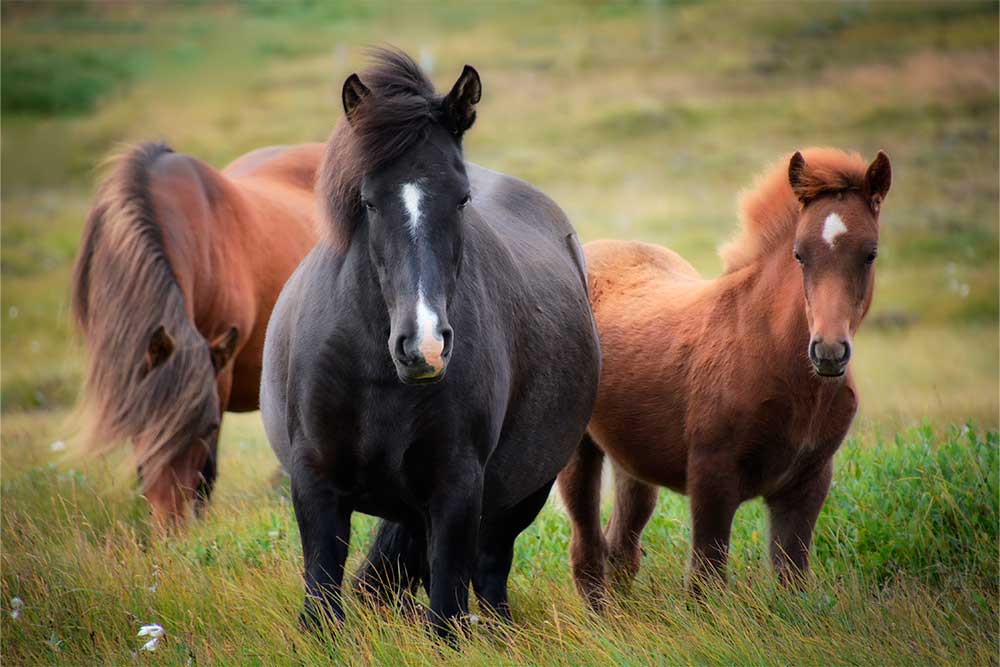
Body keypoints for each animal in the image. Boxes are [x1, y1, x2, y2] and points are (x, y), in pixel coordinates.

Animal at [260, 49, 600, 640]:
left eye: (461, 199)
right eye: (369, 202)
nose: (425, 347)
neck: (375, 372)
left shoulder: (457, 488)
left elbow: (445, 611)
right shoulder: (315, 482)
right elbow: (322, 599)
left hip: (523, 493)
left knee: (490, 571)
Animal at [560, 147, 896, 612]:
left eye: (870, 254)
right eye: (799, 254)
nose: (828, 353)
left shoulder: (808, 483)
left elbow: (792, 577)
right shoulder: (711, 477)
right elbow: (705, 580)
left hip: (632, 458)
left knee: (621, 545)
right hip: (578, 450)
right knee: (587, 548)